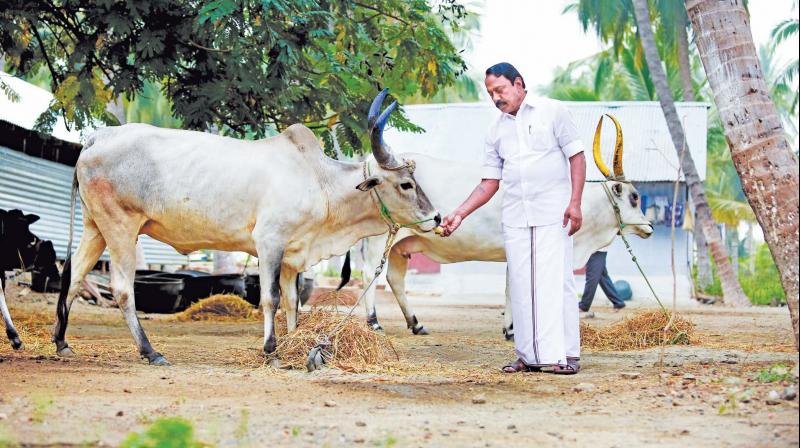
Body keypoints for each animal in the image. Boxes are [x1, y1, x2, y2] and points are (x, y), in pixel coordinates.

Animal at [53, 89, 440, 366]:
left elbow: (292, 303)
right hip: (120, 226)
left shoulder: (292, 254)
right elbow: (270, 298)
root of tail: (98, 138)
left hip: (95, 227)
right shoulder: (269, 242)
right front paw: (271, 350)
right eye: (406, 183)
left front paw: (295, 344)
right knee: (121, 289)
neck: (319, 182)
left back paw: (61, 342)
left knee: (74, 276)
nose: (436, 218)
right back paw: (150, 352)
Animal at [354, 114, 648, 334]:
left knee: (394, 279)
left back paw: (416, 324)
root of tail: (370, 164)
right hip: (380, 239)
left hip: (400, 246)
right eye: (634, 197)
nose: (649, 227)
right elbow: (515, 287)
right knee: (370, 274)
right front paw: (513, 329)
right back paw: (374, 322)